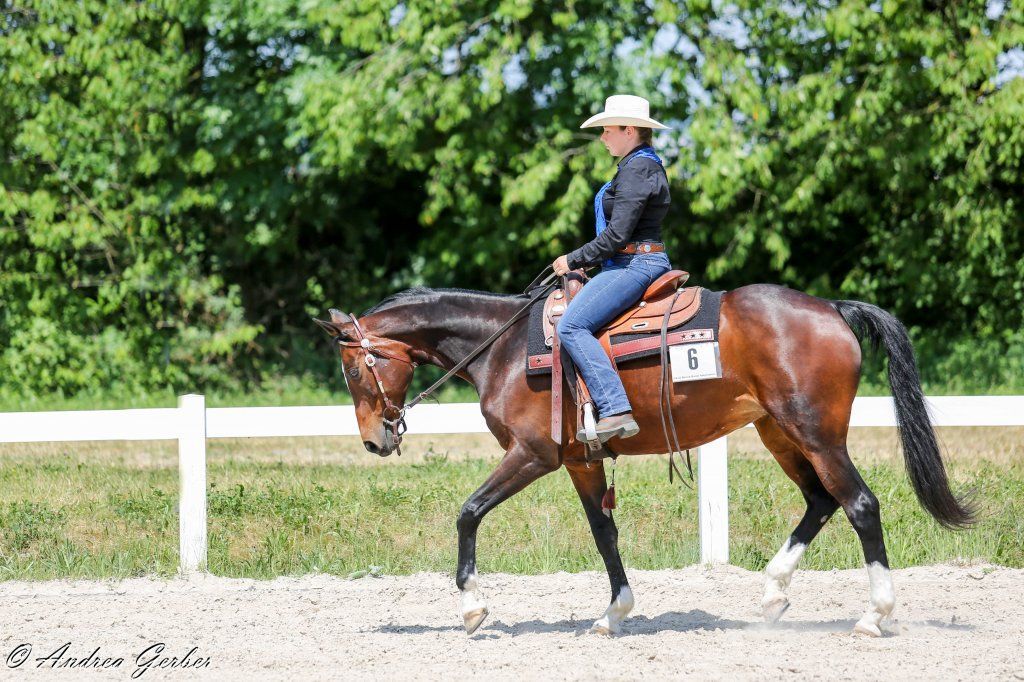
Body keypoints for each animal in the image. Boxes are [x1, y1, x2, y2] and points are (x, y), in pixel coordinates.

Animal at [313, 282, 973, 638]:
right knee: (819, 502)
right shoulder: (580, 461)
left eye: (353, 370)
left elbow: (468, 512)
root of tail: (833, 309)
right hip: (778, 433)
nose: (375, 440)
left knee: (859, 504)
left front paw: (473, 607)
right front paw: (615, 613)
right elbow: (603, 533)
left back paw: (873, 616)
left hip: (816, 434)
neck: (503, 347)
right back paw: (772, 594)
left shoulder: (532, 455)